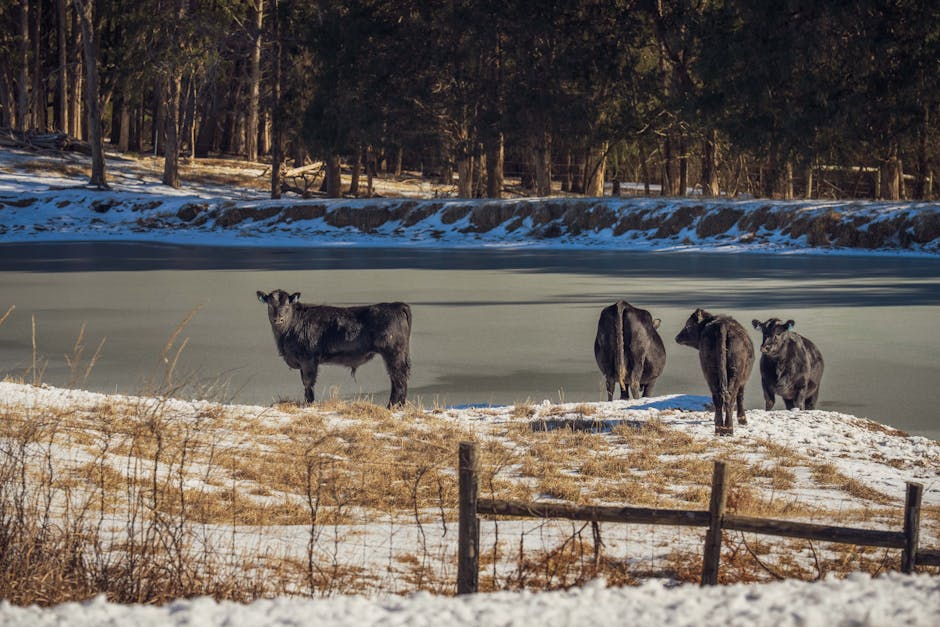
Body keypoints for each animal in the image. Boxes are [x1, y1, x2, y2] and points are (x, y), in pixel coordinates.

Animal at [256, 289, 412, 407]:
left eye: (287, 306)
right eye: (270, 305)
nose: (278, 319)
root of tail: (397, 305)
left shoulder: (308, 359)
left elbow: (308, 382)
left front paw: (309, 404)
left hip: (393, 354)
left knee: (399, 379)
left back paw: (392, 407)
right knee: (397, 378)